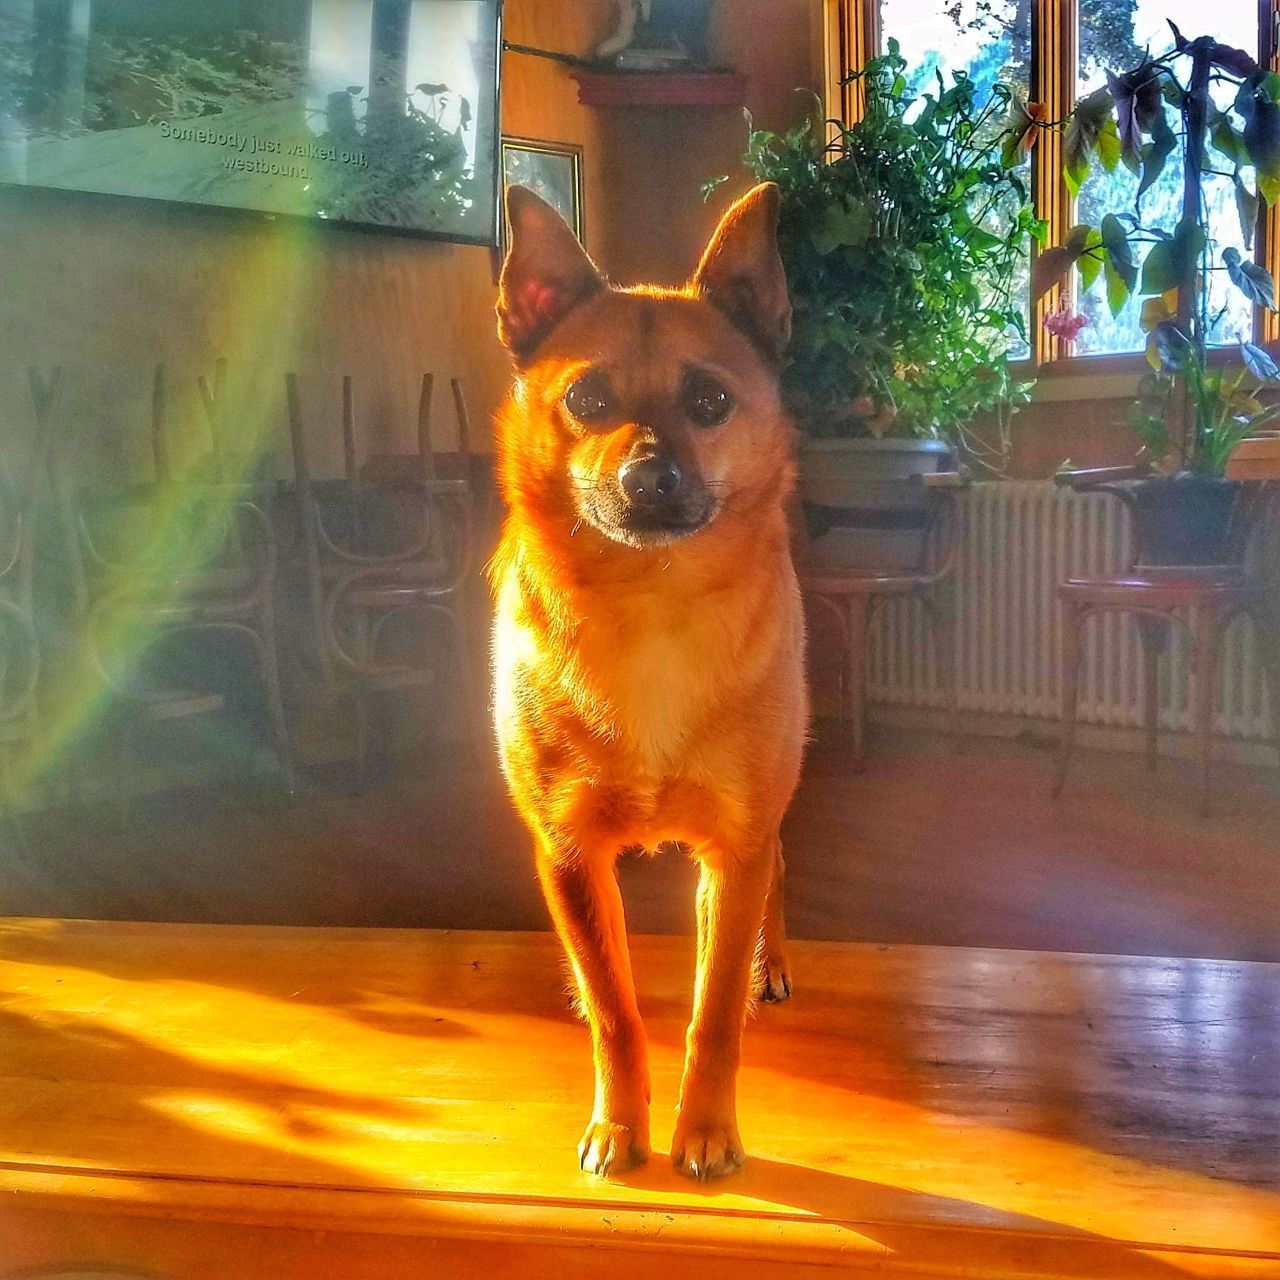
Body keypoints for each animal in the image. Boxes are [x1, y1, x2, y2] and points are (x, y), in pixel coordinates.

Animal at [491, 180, 808, 1177]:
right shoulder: (570, 857)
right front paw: (622, 1124)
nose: (651, 474)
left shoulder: (738, 846)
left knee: (769, 884)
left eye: (711, 400)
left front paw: (704, 1127)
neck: (650, 604)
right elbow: (617, 1010)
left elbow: (713, 1013)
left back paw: (769, 963)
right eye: (585, 397)